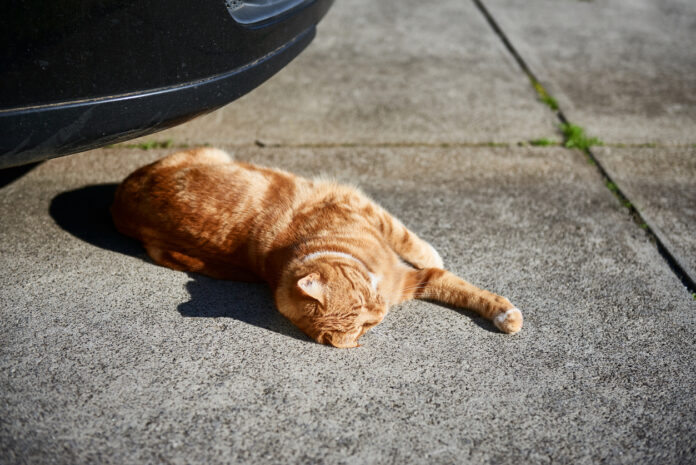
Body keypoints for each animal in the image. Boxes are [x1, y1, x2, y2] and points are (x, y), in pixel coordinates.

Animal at [110, 147, 520, 346]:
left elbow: (413, 243)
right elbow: (458, 286)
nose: (381, 307)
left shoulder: (364, 209)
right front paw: (505, 314)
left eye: (363, 297)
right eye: (367, 323)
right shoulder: (414, 282)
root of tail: (120, 203)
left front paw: (504, 314)